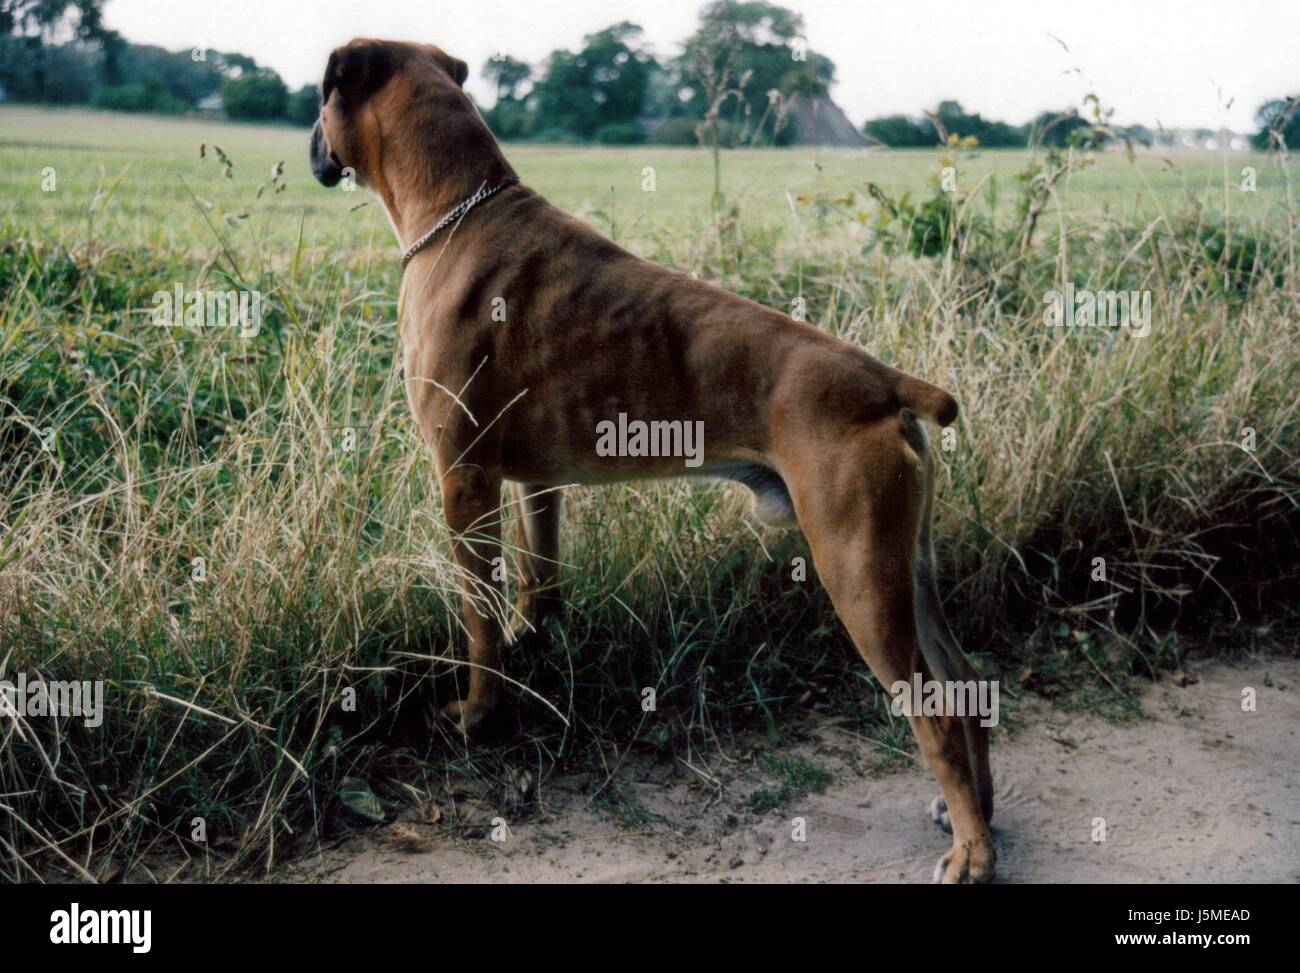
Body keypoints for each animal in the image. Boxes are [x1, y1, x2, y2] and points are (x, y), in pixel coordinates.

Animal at [312, 38, 993, 879]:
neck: (457, 210)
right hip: (908, 565)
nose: (311, 141)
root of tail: (885, 381)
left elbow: (478, 617)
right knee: (967, 680)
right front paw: (537, 653)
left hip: (858, 570)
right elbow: (538, 583)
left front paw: (479, 717)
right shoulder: (534, 484)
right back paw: (974, 817)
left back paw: (973, 850)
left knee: (935, 709)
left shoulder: (463, 480)